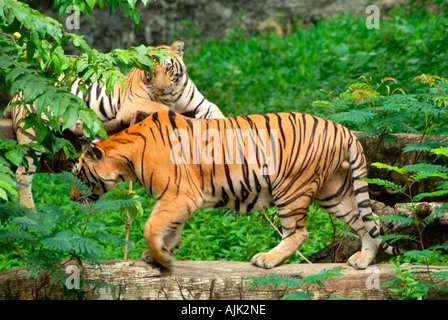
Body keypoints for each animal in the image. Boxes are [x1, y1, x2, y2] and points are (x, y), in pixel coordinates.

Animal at [5, 39, 226, 208]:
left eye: (168, 68)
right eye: (151, 73)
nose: (161, 88)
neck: (171, 94)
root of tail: (16, 92)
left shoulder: (202, 103)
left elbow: (218, 113)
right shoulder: (131, 105)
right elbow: (163, 108)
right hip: (32, 132)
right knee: (22, 175)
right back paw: (30, 212)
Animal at [70, 109, 416, 268]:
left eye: (77, 173)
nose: (72, 198)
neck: (126, 156)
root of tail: (345, 130)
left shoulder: (180, 195)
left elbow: (153, 225)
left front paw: (161, 258)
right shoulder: (178, 199)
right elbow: (171, 228)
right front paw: (161, 253)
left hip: (291, 187)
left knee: (299, 232)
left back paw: (268, 259)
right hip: (334, 192)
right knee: (366, 225)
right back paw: (362, 261)